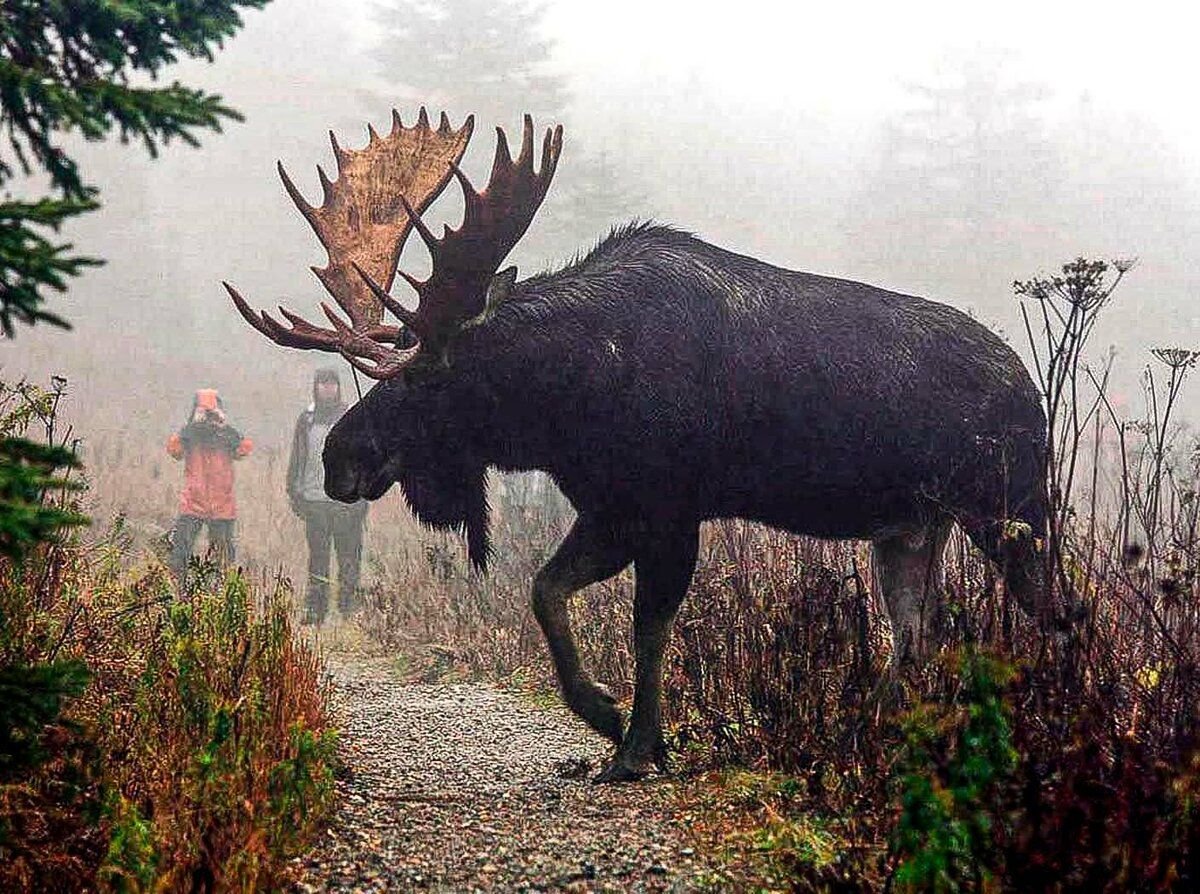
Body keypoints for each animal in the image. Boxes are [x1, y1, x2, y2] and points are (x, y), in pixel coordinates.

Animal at [223, 109, 1041, 782]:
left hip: (1011, 506)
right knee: (917, 631)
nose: (338, 458)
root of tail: (1028, 386)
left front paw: (640, 745)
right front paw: (608, 717)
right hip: (909, 527)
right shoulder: (610, 508)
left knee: (1051, 611)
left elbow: (648, 628)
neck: (568, 396)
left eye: (429, 380)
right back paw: (872, 735)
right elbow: (546, 591)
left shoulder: (669, 508)